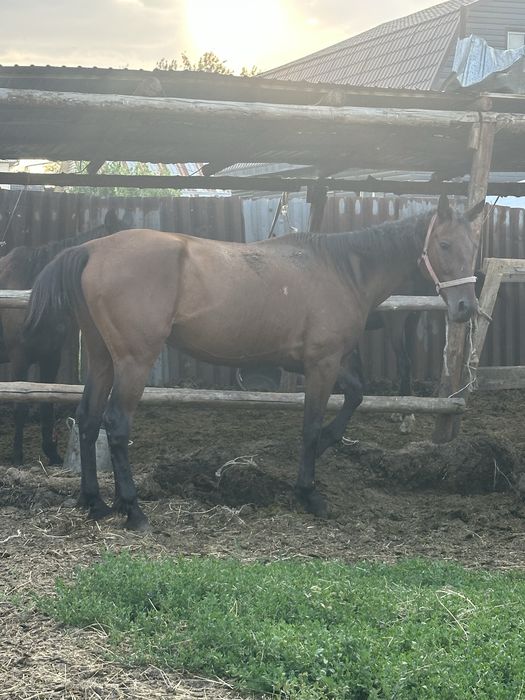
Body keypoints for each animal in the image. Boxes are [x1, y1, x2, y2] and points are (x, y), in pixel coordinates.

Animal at [0, 209, 129, 465]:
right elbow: (20, 406)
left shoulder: (50, 357)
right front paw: (17, 456)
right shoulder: (19, 358)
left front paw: (52, 453)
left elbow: (47, 404)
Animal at [23, 195, 483, 530]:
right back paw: (133, 509)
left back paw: (95, 502)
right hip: (134, 361)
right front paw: (308, 492)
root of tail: (91, 248)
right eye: (444, 245)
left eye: (473, 247)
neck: (341, 269)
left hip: (103, 359)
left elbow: (354, 397)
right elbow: (311, 425)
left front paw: (329, 444)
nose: (465, 308)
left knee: (87, 419)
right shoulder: (322, 364)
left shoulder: (331, 362)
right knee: (115, 425)